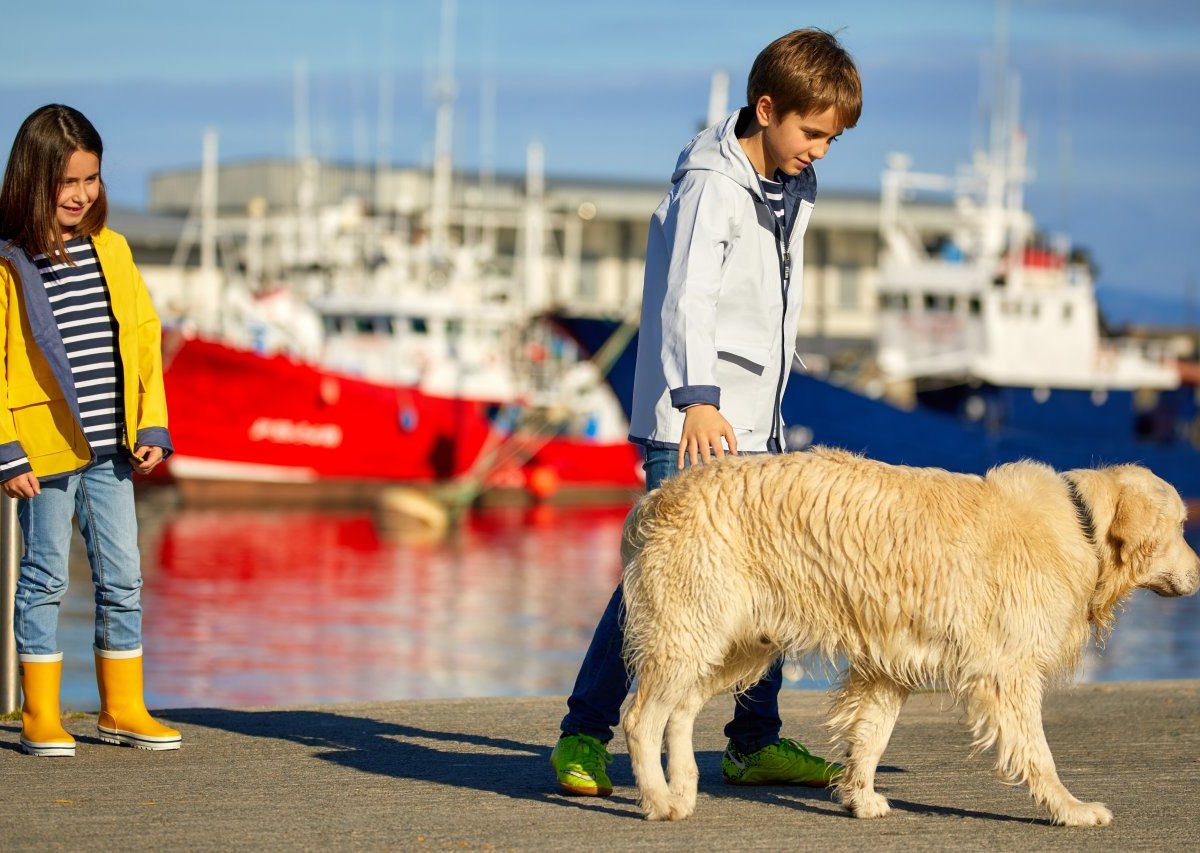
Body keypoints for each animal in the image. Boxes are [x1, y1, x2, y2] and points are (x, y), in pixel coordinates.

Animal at [619, 446, 1200, 825]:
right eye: (1180, 528)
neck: (1082, 525)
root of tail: (661, 494)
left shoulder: (889, 665)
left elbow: (870, 737)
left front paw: (859, 798)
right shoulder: (1008, 673)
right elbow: (1039, 753)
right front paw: (1070, 808)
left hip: (738, 644)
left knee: (682, 709)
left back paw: (683, 788)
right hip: (692, 632)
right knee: (640, 717)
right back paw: (658, 800)